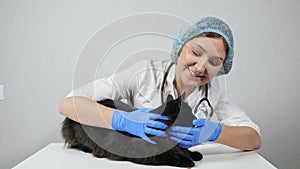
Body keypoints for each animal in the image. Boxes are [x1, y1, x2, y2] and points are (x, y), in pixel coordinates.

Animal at [61, 94, 203, 167]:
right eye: (191, 112)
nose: (196, 119)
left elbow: (186, 151)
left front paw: (195, 154)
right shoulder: (148, 154)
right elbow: (171, 157)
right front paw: (187, 160)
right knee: (77, 144)